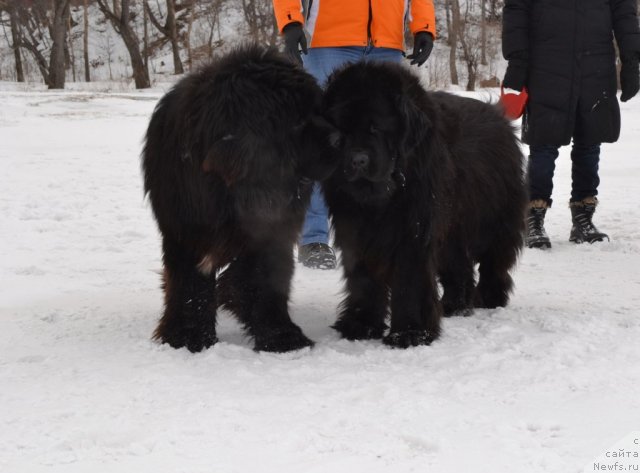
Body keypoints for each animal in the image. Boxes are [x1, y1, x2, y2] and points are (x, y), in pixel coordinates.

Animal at [142, 44, 338, 352]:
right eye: (296, 120)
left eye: (318, 109)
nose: (340, 137)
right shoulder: (185, 231)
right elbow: (190, 284)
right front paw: (189, 337)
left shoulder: (273, 228)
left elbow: (261, 277)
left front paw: (280, 335)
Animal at [322, 62, 528, 346]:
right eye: (341, 131)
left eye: (376, 128)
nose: (358, 160)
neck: (382, 197)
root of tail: (500, 117)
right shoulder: (356, 231)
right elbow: (363, 277)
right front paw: (361, 324)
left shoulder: (414, 228)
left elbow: (410, 280)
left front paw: (410, 332)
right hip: (453, 228)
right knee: (458, 265)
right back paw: (456, 305)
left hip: (492, 220)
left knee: (494, 261)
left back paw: (489, 297)